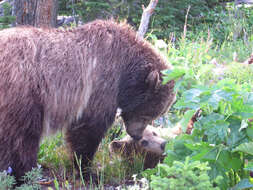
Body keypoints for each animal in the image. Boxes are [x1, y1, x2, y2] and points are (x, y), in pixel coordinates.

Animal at [0, 19, 176, 183]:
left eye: (155, 116)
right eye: (148, 115)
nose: (136, 135)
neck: (126, 70)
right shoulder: (100, 83)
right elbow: (88, 129)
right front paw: (88, 171)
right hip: (25, 91)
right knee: (22, 136)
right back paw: (24, 174)